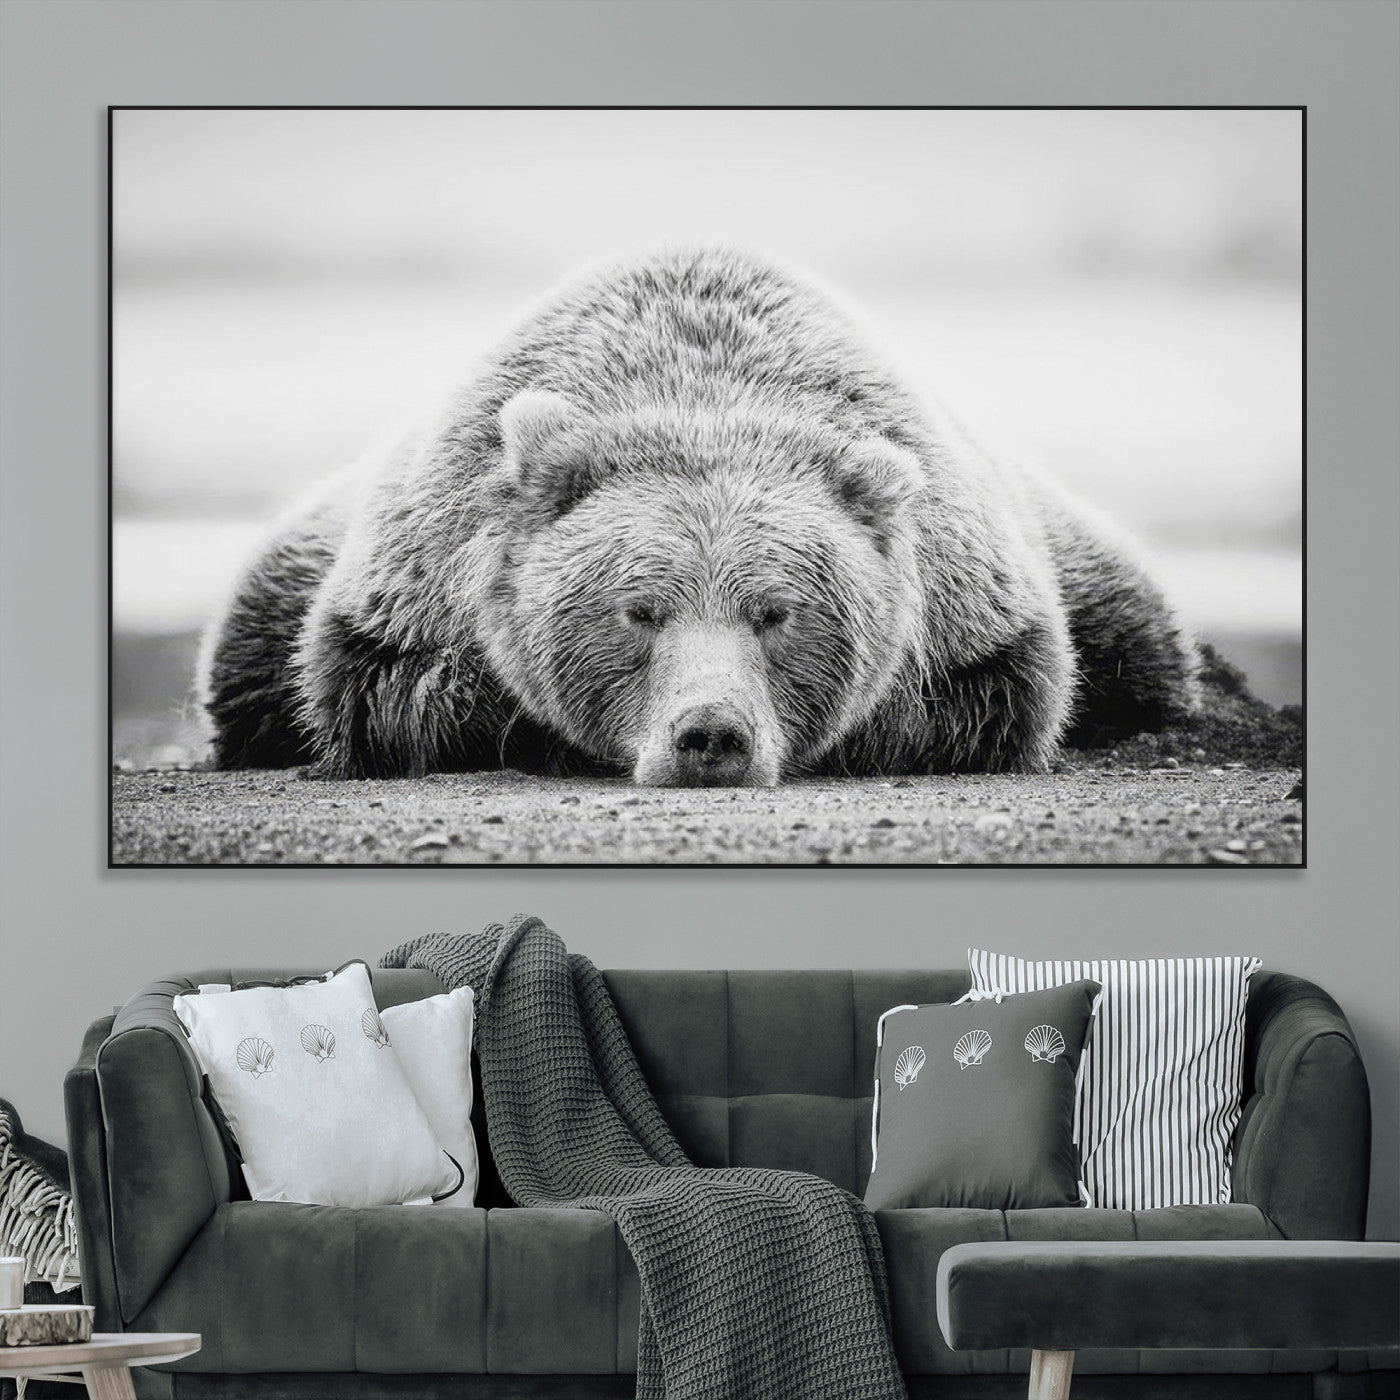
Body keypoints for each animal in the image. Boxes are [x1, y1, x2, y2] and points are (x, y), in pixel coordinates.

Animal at [199, 248, 1197, 786]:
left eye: (778, 612)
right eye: (639, 609)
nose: (711, 733)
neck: (701, 391)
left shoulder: (971, 601)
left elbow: (998, 695)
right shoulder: (415, 577)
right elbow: (387, 689)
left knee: (1138, 636)